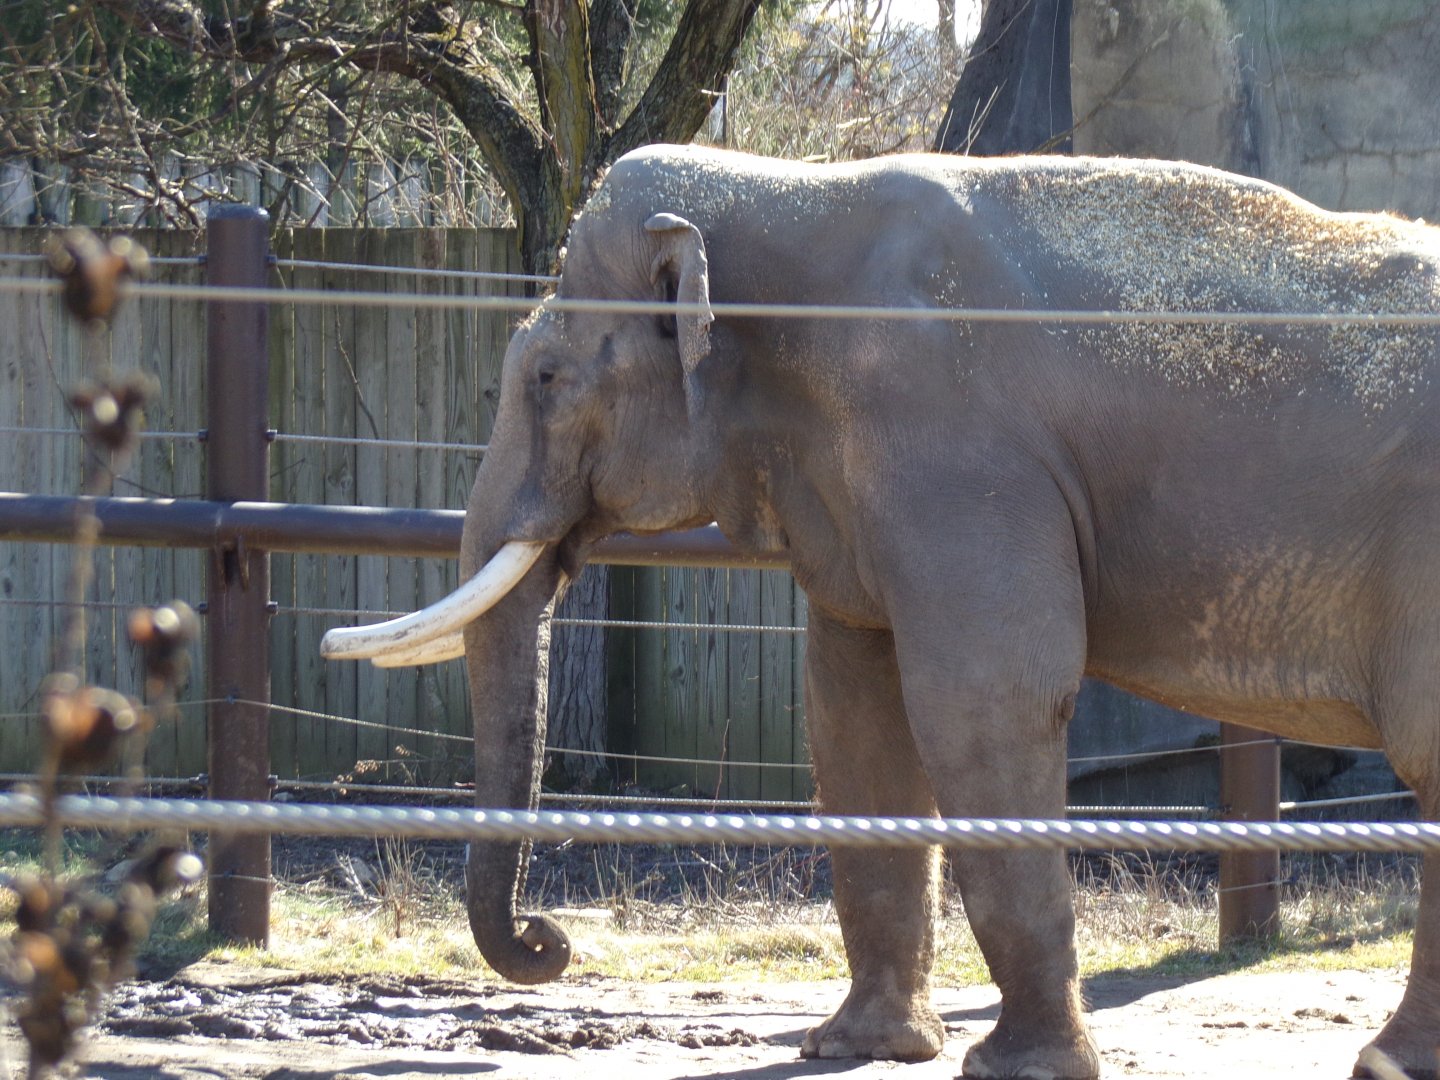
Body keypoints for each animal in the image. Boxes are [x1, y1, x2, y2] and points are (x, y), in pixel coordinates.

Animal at [322, 145, 1440, 1079]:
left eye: (549, 379)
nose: (553, 940)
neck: (791, 189)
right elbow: (855, 717)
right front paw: (858, 1048)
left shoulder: (955, 452)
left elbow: (981, 701)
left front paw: (1015, 1070)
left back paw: (1388, 1063)